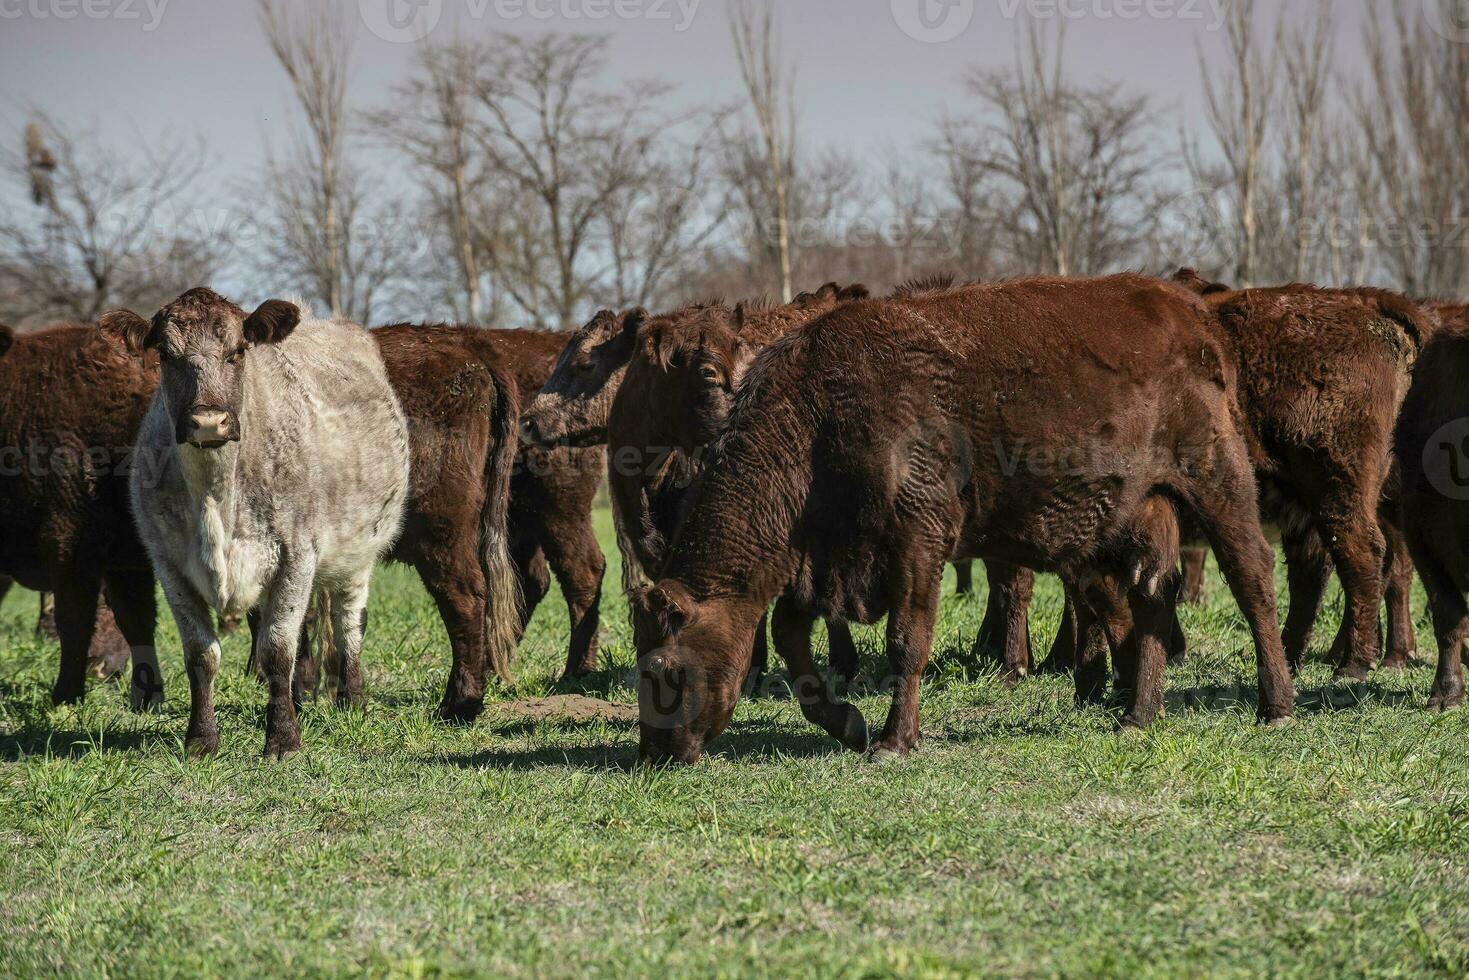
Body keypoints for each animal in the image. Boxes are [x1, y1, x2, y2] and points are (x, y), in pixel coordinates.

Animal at [0, 326, 160, 708]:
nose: (102, 670)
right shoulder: (78, 549)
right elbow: (83, 620)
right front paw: (68, 694)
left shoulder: (113, 558)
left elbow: (126, 619)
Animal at [105, 285, 408, 758]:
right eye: (167, 356)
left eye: (238, 351)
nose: (208, 421)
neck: (216, 497)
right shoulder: (169, 564)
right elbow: (202, 654)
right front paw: (202, 738)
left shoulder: (298, 554)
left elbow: (277, 650)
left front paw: (283, 738)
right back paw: (300, 700)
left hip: (359, 553)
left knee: (348, 623)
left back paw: (352, 698)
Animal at [631, 276, 1286, 764]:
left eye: (662, 667)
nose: (654, 752)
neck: (818, 416)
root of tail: (1192, 314)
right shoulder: (824, 561)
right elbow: (793, 638)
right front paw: (848, 724)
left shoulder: (917, 539)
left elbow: (905, 640)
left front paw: (894, 740)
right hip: (1137, 513)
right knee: (1151, 596)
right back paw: (1138, 715)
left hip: (1217, 483)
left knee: (1251, 577)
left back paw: (1275, 706)